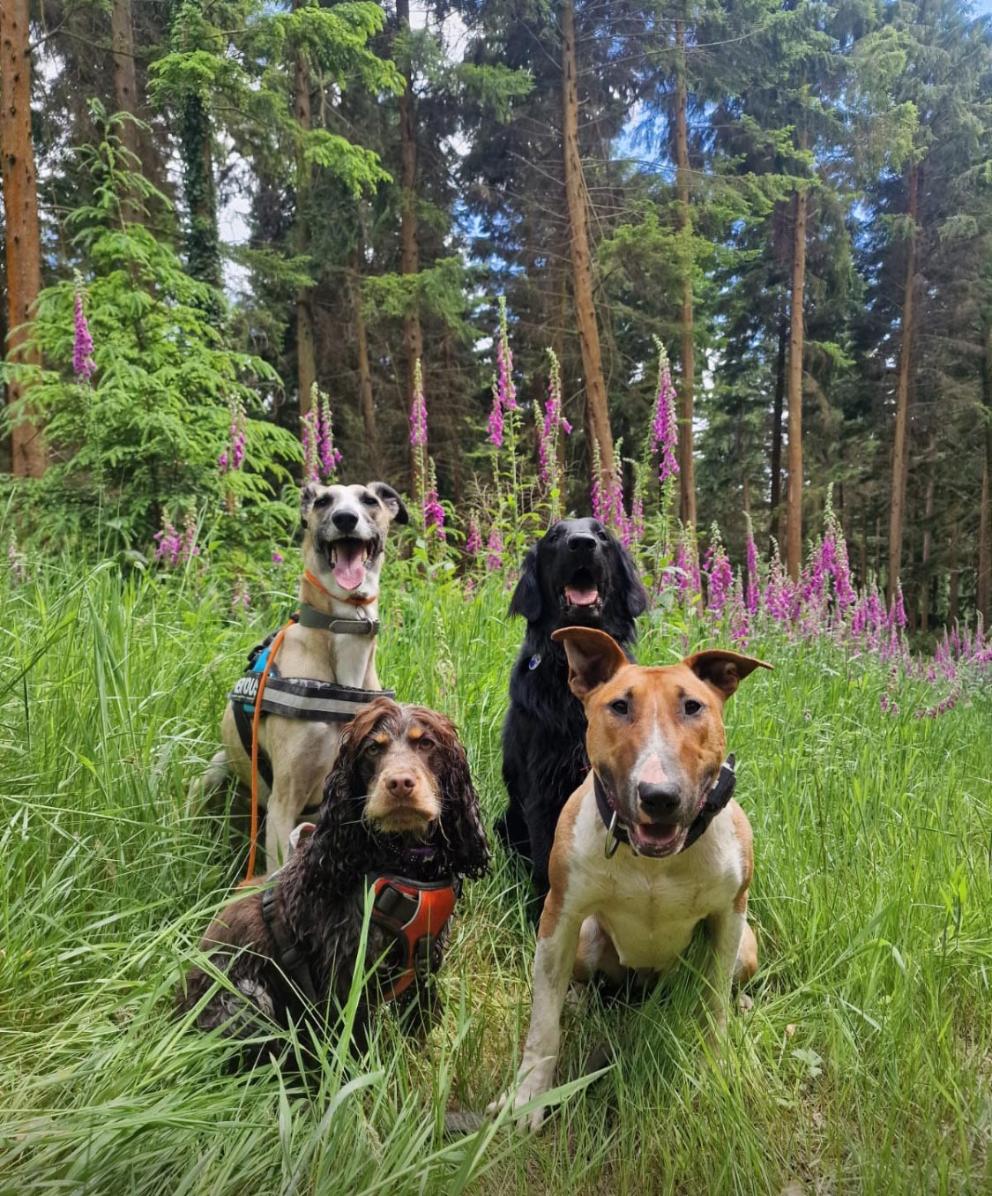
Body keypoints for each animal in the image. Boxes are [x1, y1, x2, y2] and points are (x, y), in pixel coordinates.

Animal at [500, 626, 770, 1129]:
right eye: (619, 706)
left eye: (693, 706)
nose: (660, 796)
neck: (654, 862)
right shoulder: (560, 915)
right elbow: (543, 1023)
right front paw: (527, 1097)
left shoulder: (729, 916)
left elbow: (714, 1005)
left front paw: (717, 1069)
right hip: (587, 941)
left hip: (746, 945)